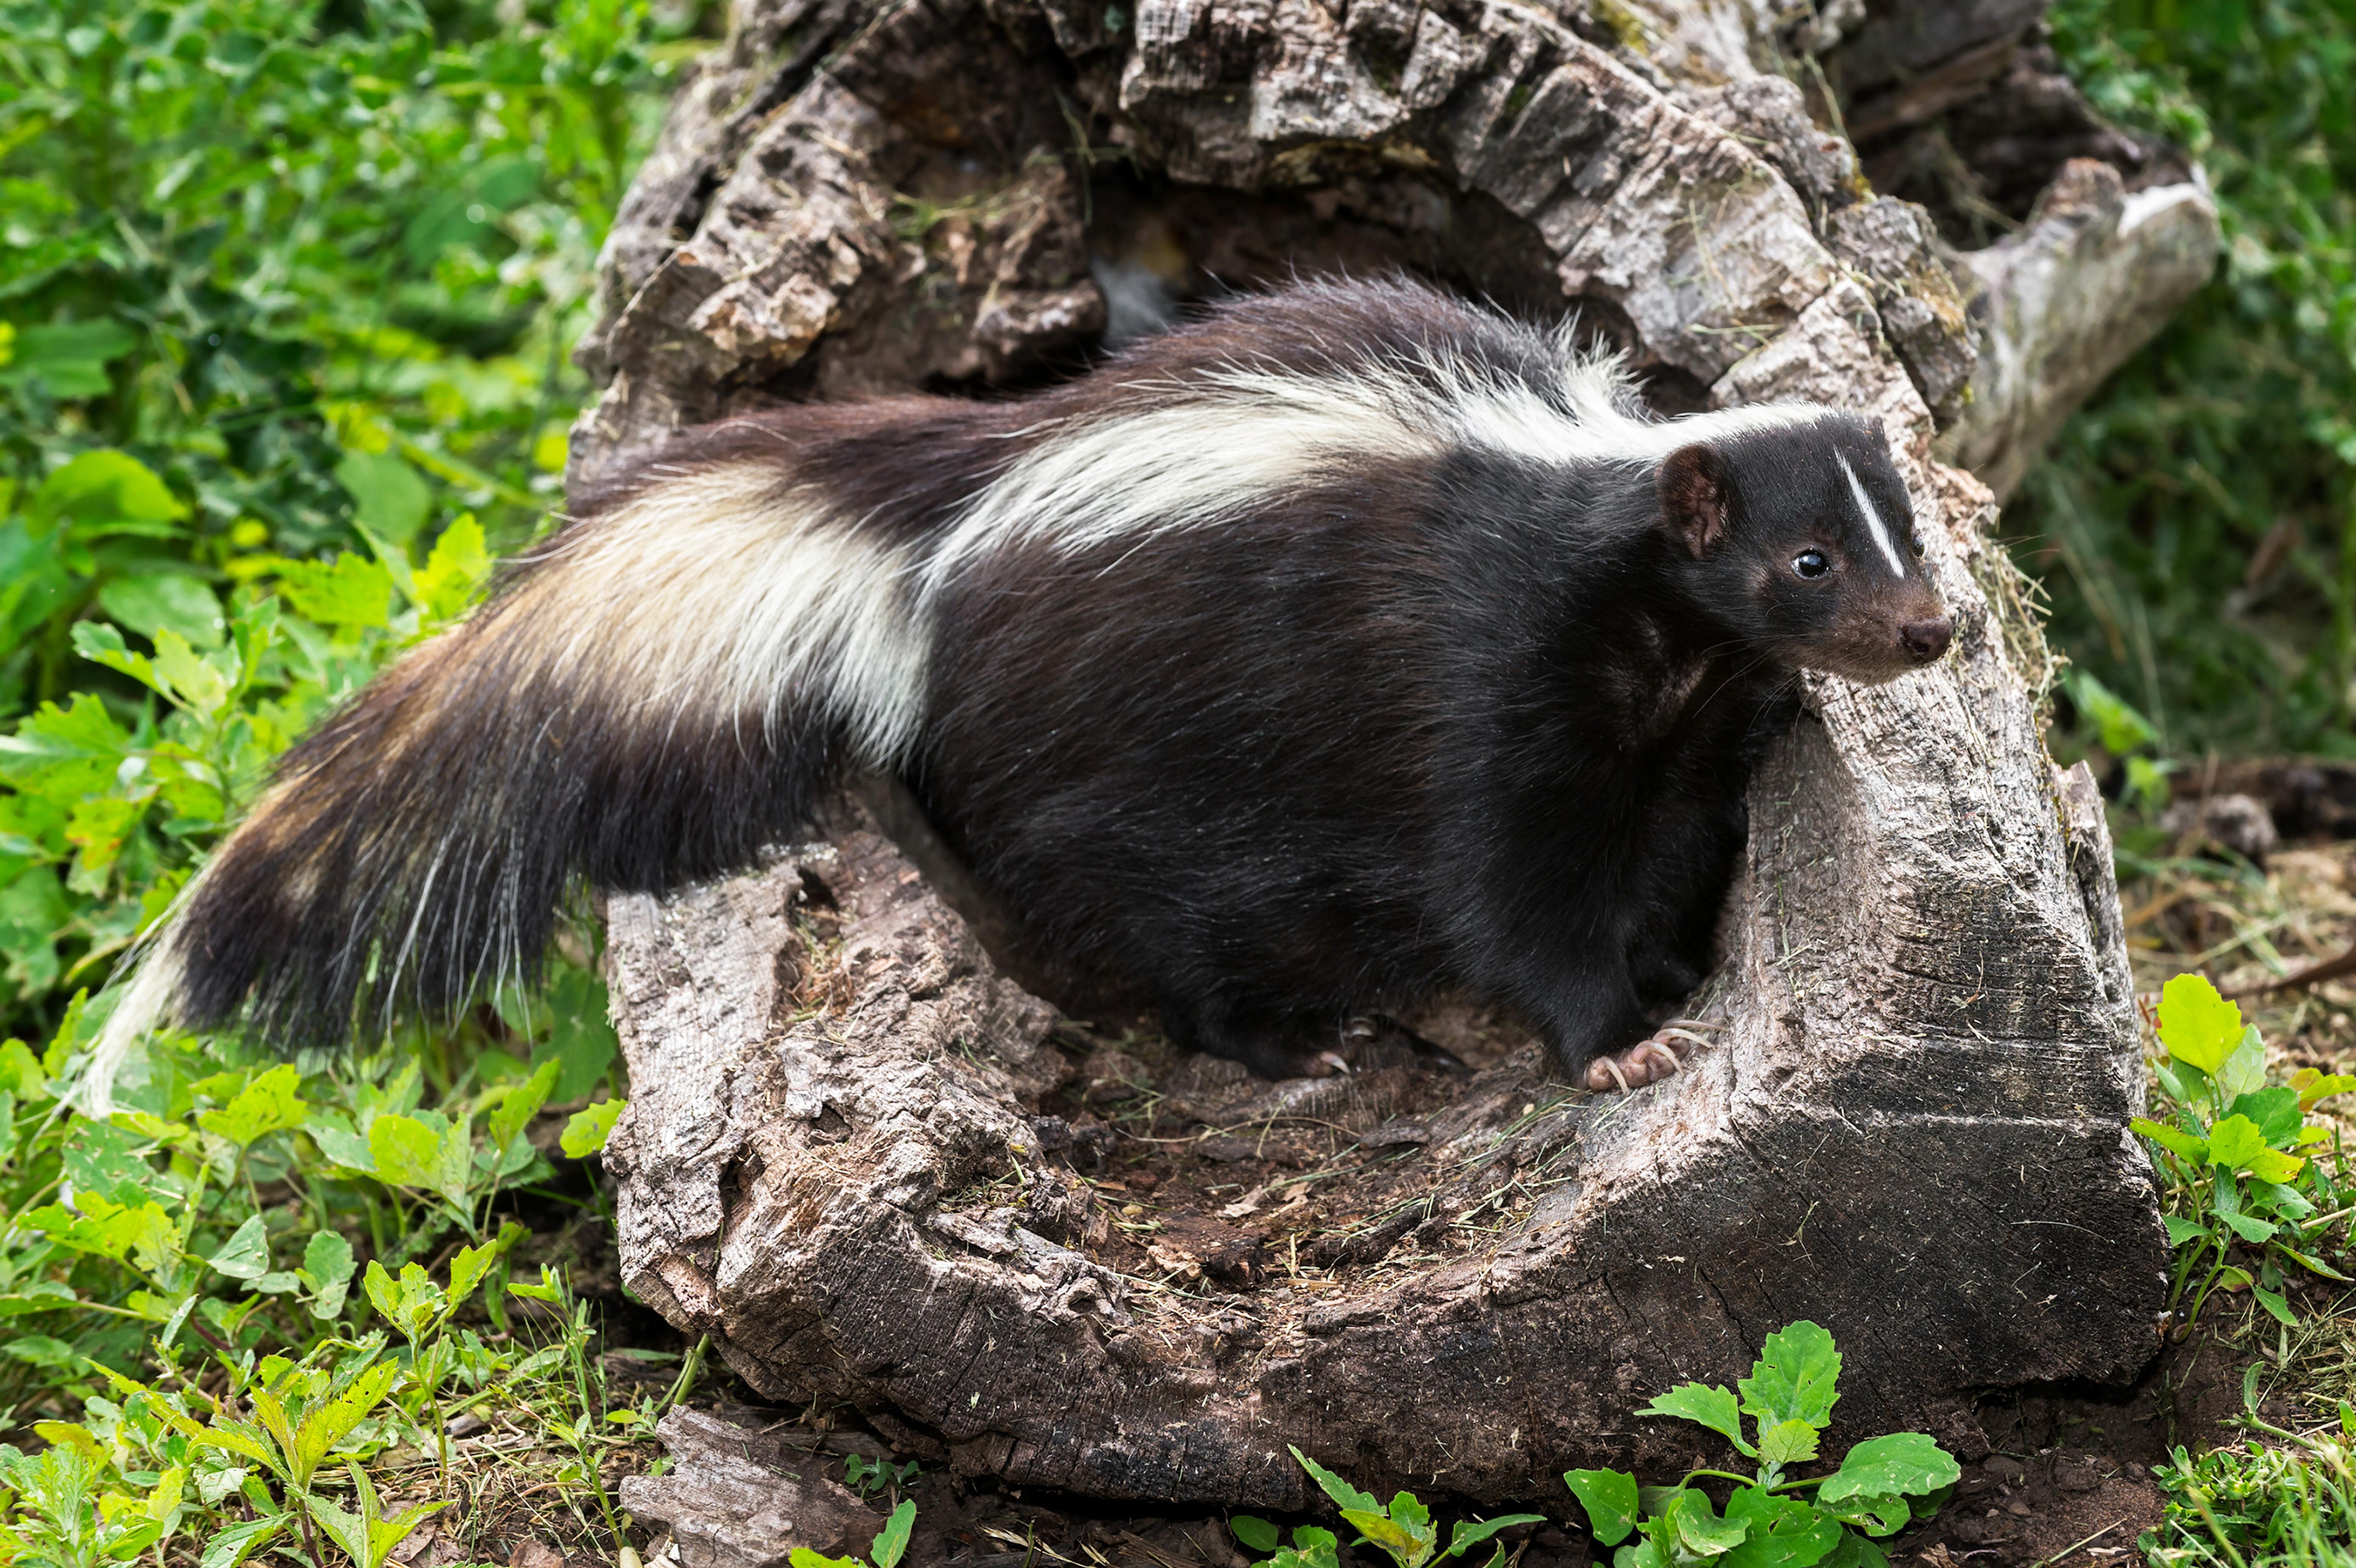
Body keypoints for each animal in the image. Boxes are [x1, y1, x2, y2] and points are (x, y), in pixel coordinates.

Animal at [87, 284, 1951, 1111]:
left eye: (1906, 532)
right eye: (1806, 562)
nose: (1927, 631)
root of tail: (941, 531)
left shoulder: (1668, 720)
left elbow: (1665, 842)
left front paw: (1672, 973)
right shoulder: (1478, 669)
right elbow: (1510, 886)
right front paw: (1614, 1037)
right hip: (1129, 748)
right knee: (1162, 912)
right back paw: (1286, 1035)